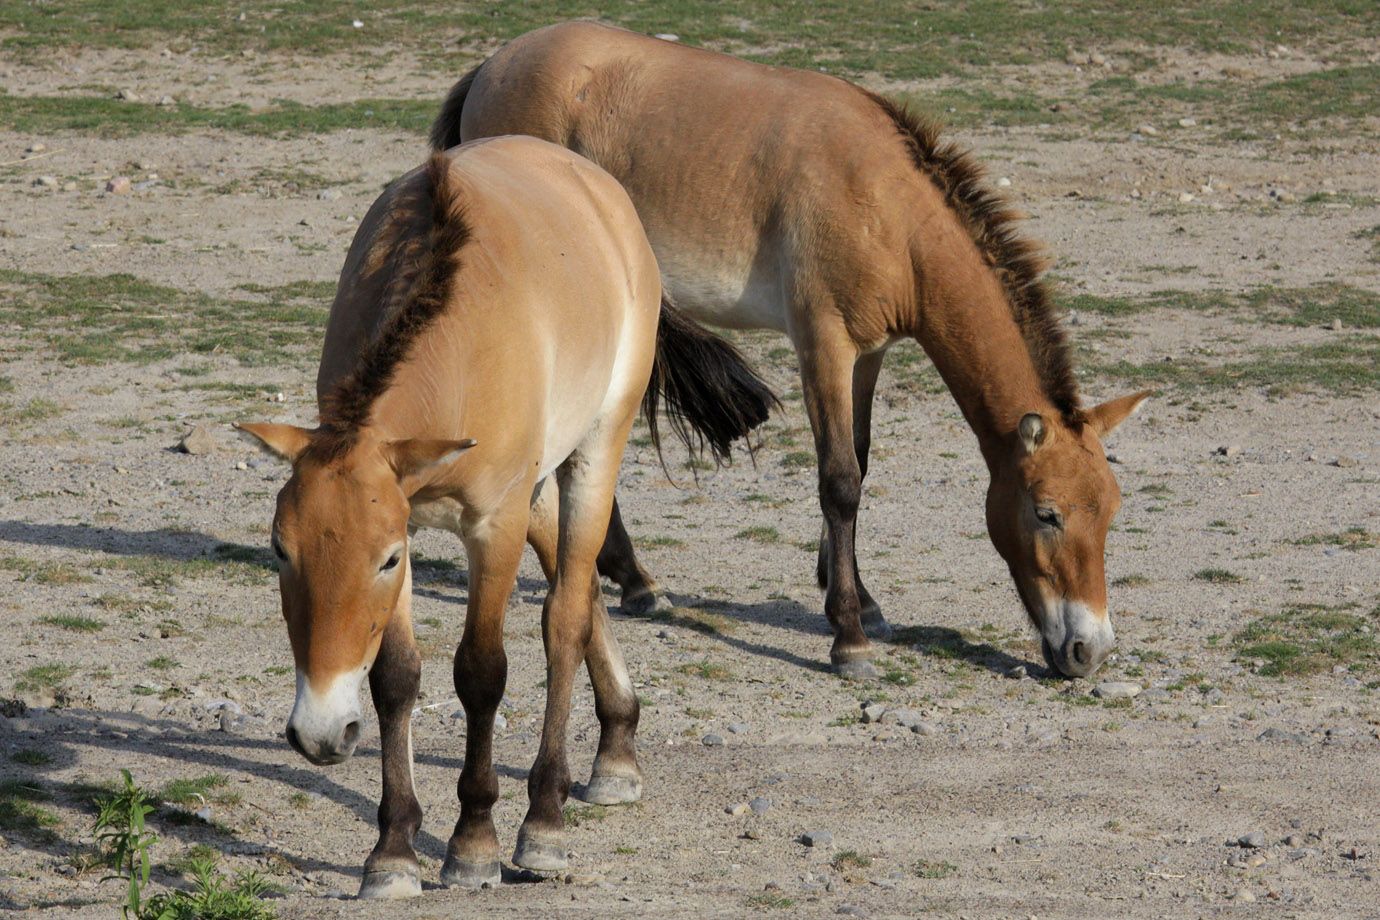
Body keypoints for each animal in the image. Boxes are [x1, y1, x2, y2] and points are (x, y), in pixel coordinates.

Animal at [236, 135, 774, 898]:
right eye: (281, 550)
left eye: (385, 559)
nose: (320, 733)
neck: (458, 346)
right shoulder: (414, 509)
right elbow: (395, 678)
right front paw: (392, 851)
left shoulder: (490, 525)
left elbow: (482, 672)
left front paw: (475, 842)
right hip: (540, 482)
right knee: (577, 588)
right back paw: (616, 747)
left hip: (593, 451)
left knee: (565, 616)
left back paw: (545, 819)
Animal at [431, 21, 1151, 679]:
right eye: (1047, 513)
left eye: (1112, 510)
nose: (1089, 652)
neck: (889, 211)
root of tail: (490, 70)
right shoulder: (822, 344)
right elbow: (840, 480)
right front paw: (849, 639)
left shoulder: (869, 354)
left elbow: (860, 458)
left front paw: (859, 599)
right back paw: (633, 580)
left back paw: (633, 580)